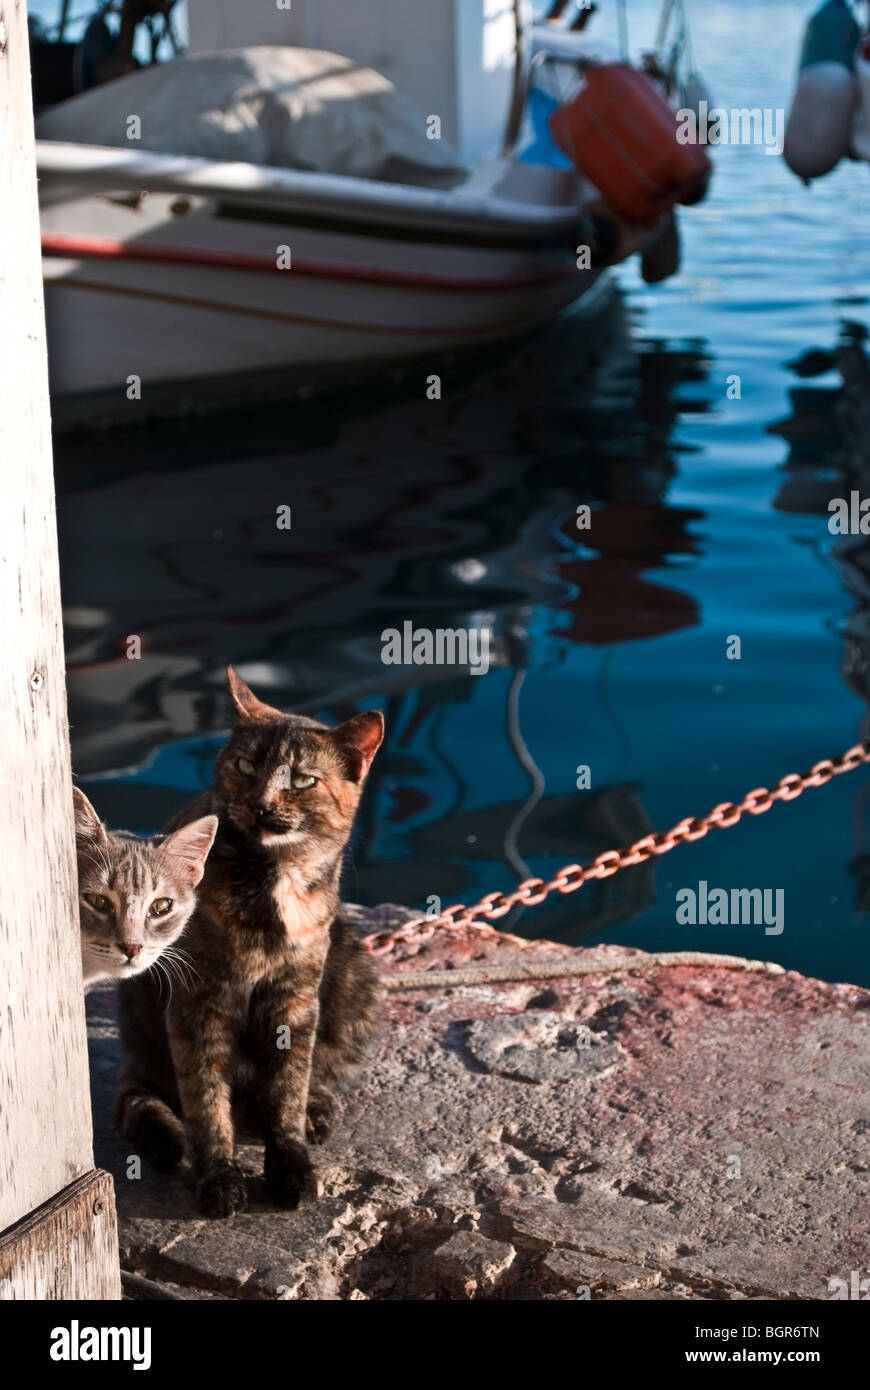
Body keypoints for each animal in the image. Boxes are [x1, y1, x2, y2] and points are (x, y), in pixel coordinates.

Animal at [115, 669, 383, 1217]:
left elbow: (286, 1090)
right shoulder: (198, 1005)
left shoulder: (294, 1000)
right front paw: (219, 1178)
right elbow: (206, 1103)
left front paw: (292, 1167)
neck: (272, 884)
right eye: (245, 766)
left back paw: (315, 1108)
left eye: (301, 780)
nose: (261, 804)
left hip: (352, 969)